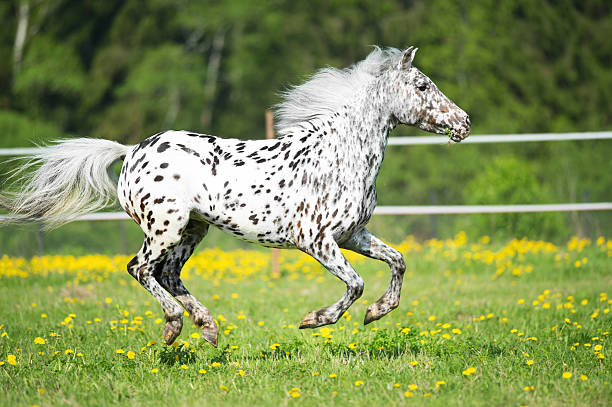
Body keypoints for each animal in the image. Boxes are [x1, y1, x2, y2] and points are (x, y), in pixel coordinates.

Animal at [0, 47, 470, 348]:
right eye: (422, 86)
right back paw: (174, 327)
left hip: (193, 230)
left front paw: (377, 312)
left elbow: (398, 261)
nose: (464, 122)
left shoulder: (353, 235)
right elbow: (355, 283)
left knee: (169, 274)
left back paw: (207, 327)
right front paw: (314, 321)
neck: (338, 155)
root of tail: (131, 151)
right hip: (165, 228)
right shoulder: (315, 240)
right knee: (140, 269)